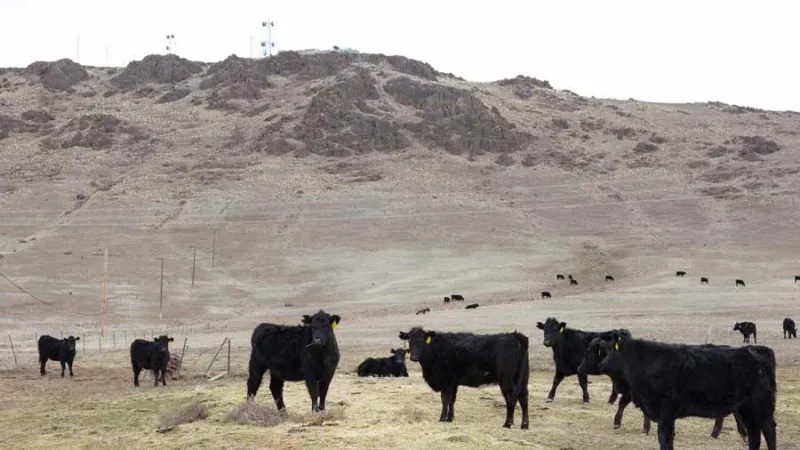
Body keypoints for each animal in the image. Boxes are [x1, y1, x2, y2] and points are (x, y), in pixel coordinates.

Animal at [398, 327, 529, 429]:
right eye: (409, 340)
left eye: (422, 342)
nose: (414, 357)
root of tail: (515, 335)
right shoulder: (453, 382)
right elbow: (452, 400)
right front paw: (450, 418)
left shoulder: (446, 381)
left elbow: (445, 399)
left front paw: (442, 418)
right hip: (523, 378)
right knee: (523, 398)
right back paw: (524, 425)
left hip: (507, 380)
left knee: (510, 399)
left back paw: (508, 423)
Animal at [577, 337, 748, 441]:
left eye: (590, 353)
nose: (579, 368)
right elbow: (623, 403)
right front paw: (618, 423)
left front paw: (643, 428)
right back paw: (719, 433)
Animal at [598, 334, 777, 450]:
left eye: (611, 351)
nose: (601, 364)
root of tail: (758, 350)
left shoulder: (666, 412)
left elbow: (664, 438)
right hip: (746, 409)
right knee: (754, 434)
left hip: (762, 406)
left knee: (769, 431)